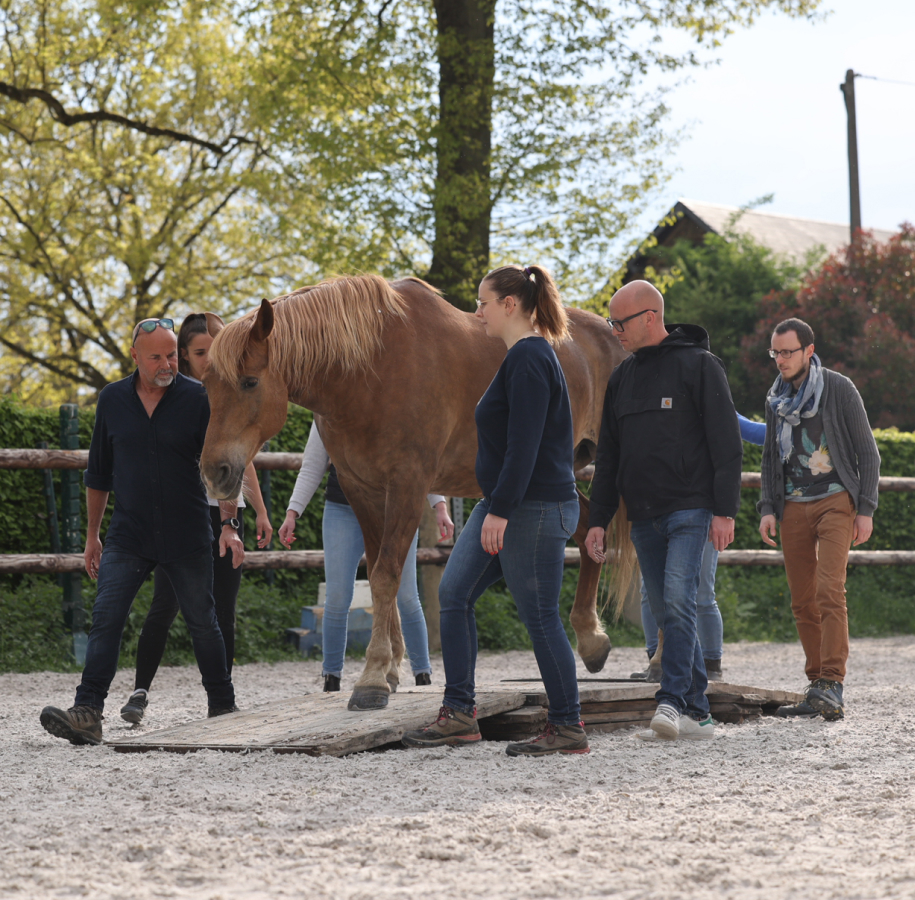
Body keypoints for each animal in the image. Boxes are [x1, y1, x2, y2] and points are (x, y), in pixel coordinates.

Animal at [197, 274, 632, 712]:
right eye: (207, 386)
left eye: (249, 382)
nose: (214, 473)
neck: (369, 370)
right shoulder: (361, 489)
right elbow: (377, 572)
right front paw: (389, 670)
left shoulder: (408, 484)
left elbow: (386, 575)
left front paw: (371, 678)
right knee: (588, 534)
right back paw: (591, 639)